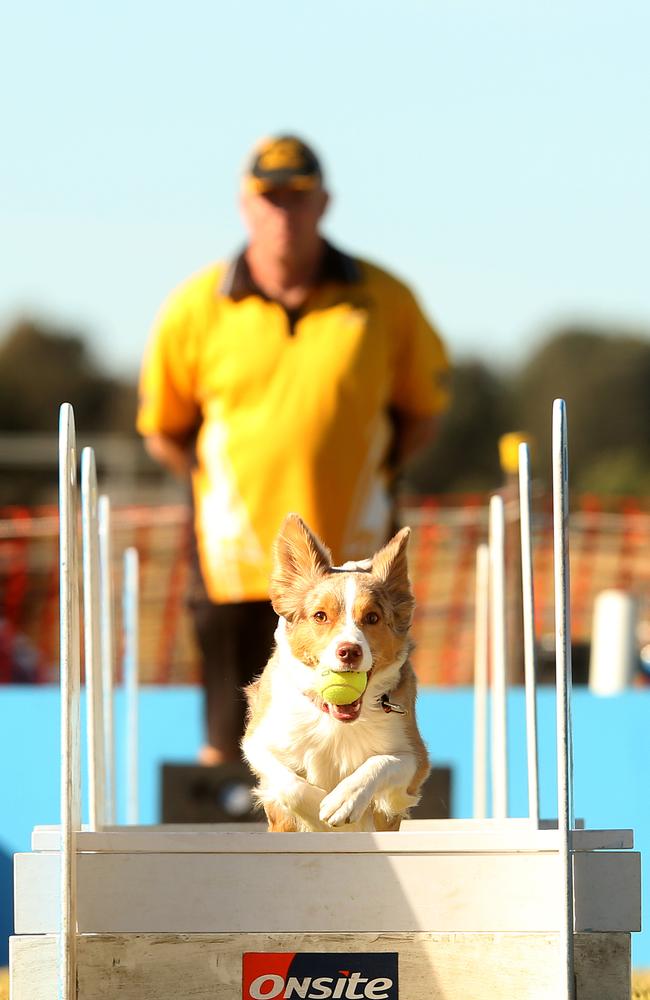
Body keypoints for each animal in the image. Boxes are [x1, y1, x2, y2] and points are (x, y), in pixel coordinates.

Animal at [240, 512, 428, 832]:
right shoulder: (259, 738)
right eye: (320, 616)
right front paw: (317, 807)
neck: (334, 720)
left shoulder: (415, 758)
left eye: (372, 618)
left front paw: (344, 800)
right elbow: (288, 783)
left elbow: (383, 762)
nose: (349, 651)